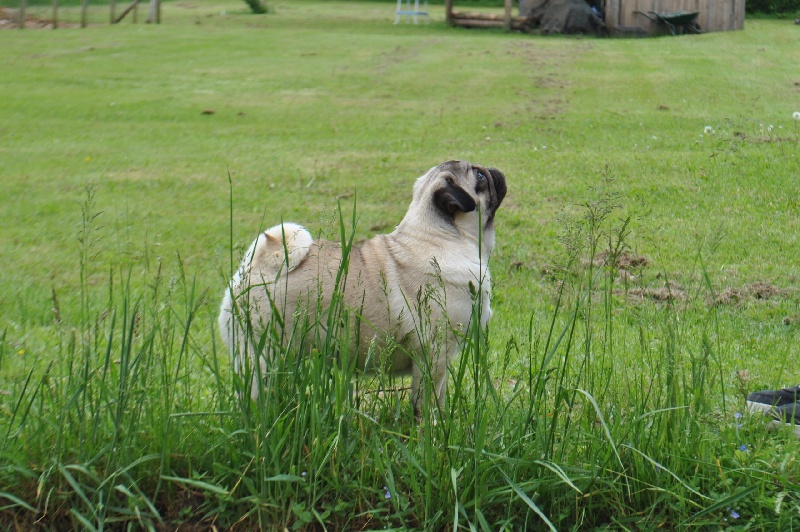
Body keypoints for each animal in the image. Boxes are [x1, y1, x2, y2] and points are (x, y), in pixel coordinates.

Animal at [219, 160, 506, 414]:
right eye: (480, 176)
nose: (495, 171)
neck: (440, 238)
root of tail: (258, 265)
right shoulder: (434, 357)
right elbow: (429, 404)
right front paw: (433, 430)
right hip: (260, 357)